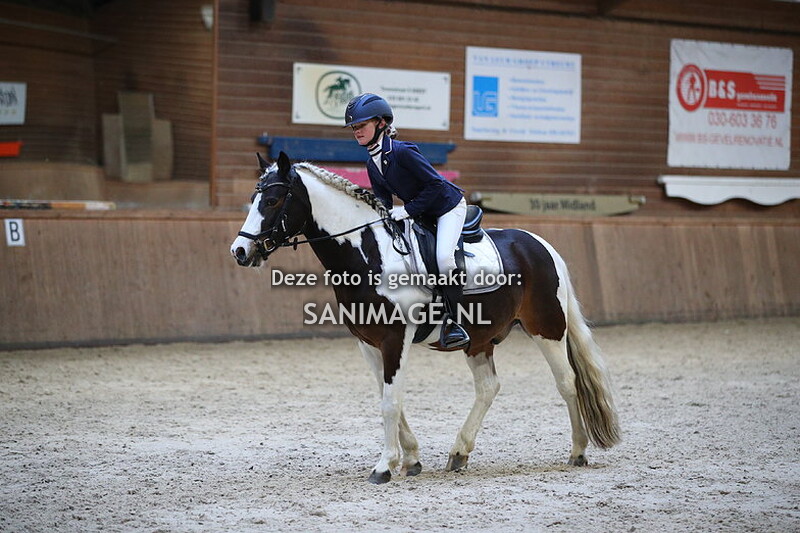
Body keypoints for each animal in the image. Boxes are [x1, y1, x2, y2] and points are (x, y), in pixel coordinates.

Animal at [230, 152, 620, 484]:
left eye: (273, 201)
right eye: (254, 198)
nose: (240, 251)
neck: (369, 253)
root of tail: (541, 243)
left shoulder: (395, 338)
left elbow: (390, 401)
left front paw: (384, 466)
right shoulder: (367, 343)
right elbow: (388, 397)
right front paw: (411, 459)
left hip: (547, 328)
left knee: (567, 382)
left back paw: (577, 451)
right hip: (480, 339)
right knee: (488, 387)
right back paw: (459, 452)